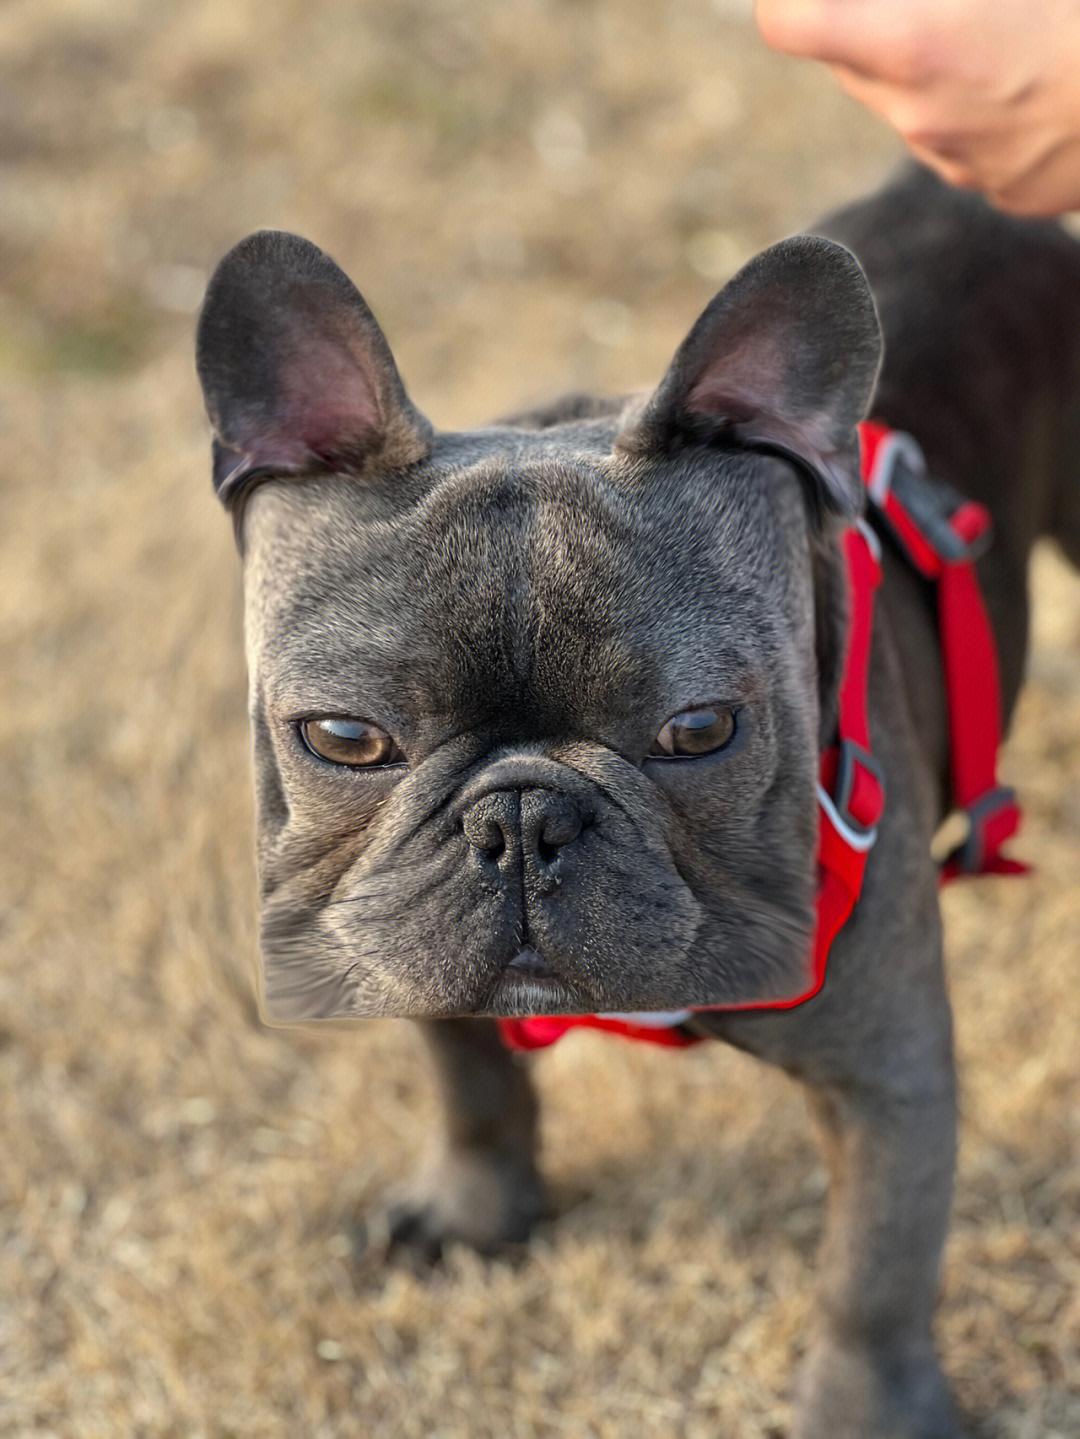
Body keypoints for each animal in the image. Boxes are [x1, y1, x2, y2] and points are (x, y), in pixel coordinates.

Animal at [194, 163, 1080, 1433]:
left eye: (700, 732)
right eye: (346, 738)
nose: (519, 817)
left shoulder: (890, 1077)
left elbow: (872, 1269)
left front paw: (865, 1408)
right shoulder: (401, 933)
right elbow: (471, 1081)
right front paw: (477, 1209)